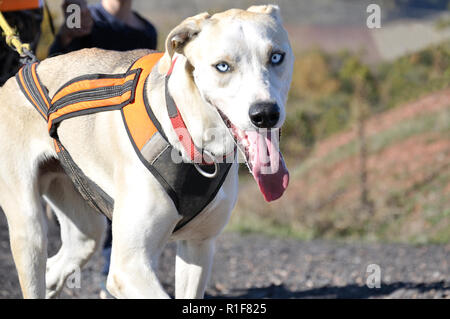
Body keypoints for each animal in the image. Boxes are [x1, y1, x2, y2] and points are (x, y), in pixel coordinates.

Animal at [0, 5, 294, 298]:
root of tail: (20, 74)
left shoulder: (198, 246)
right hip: (30, 230)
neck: (190, 137)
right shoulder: (129, 268)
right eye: (223, 66)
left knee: (65, 259)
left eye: (276, 57)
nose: (265, 114)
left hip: (82, 220)